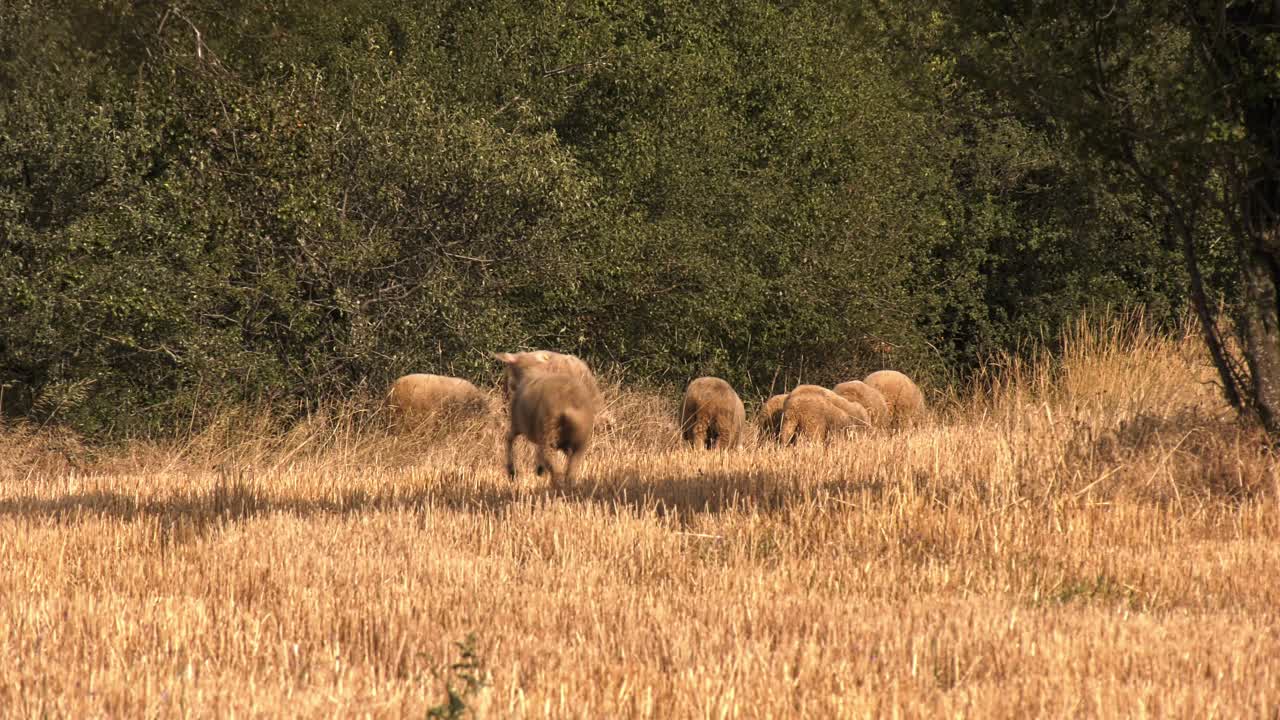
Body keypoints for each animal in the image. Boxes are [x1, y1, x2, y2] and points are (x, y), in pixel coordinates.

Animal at [494, 352, 597, 484]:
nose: (504, 394)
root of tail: (568, 406)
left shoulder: (517, 424)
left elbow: (508, 439)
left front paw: (512, 471)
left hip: (548, 435)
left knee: (555, 469)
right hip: (579, 443)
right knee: (570, 472)